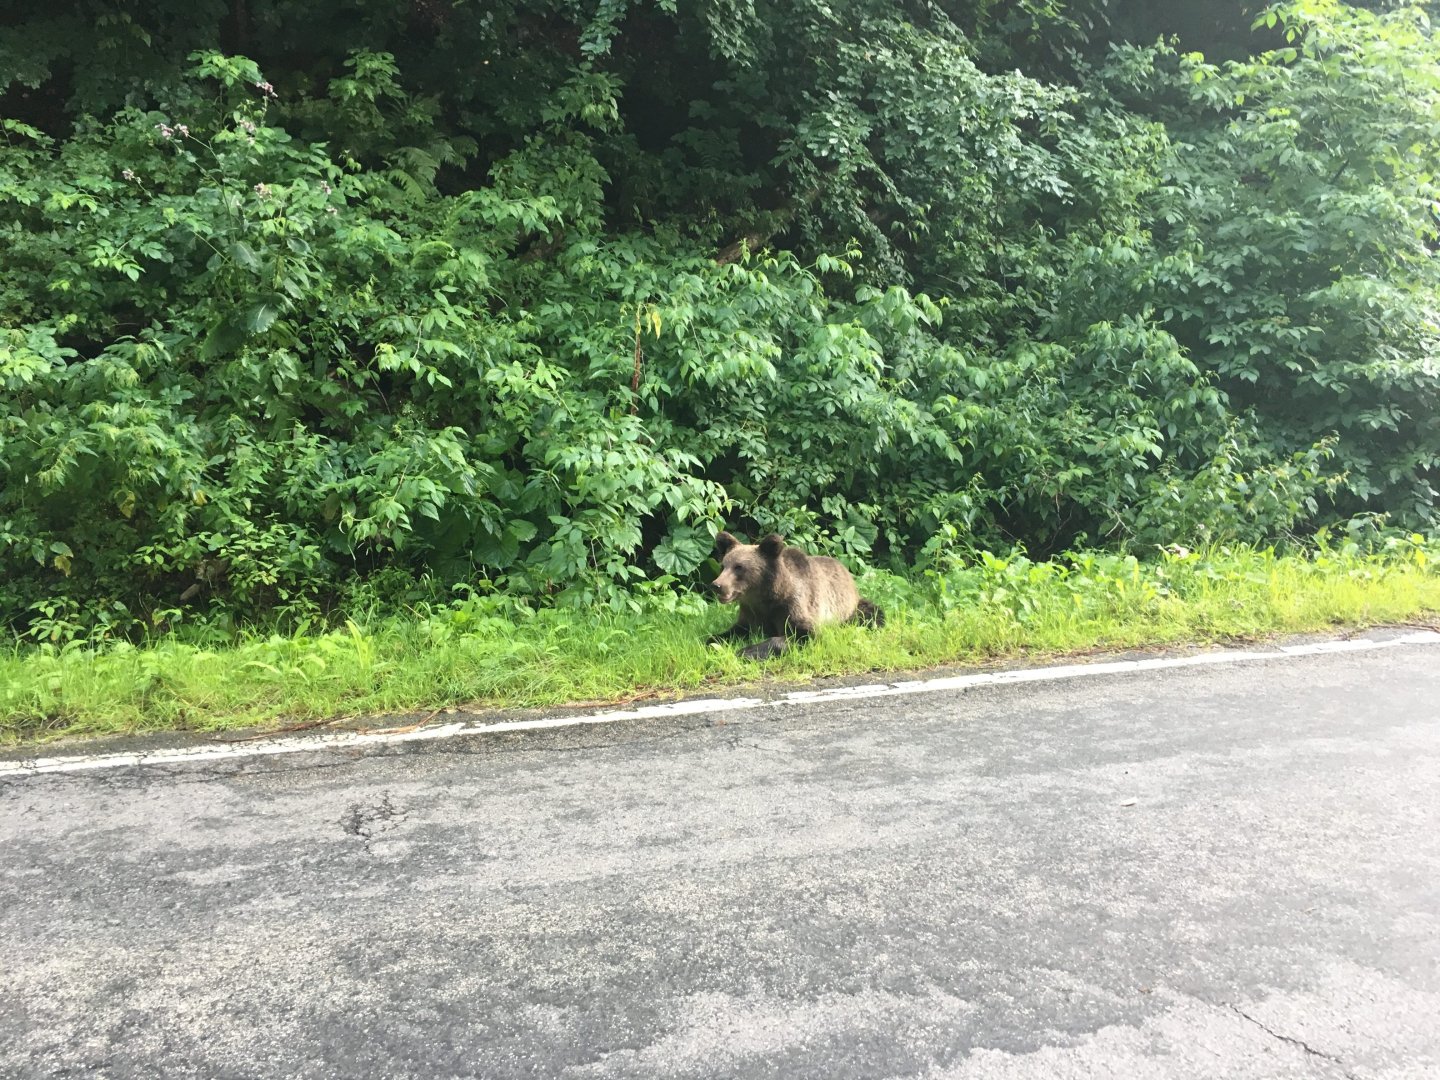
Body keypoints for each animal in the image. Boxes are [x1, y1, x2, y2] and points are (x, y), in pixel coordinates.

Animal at [708, 531, 884, 660]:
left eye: (739, 567)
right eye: (723, 565)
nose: (717, 585)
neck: (764, 597)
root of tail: (846, 571)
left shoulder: (792, 606)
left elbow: (803, 634)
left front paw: (746, 651)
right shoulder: (751, 612)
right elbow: (734, 630)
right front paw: (712, 641)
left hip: (850, 609)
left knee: (873, 615)